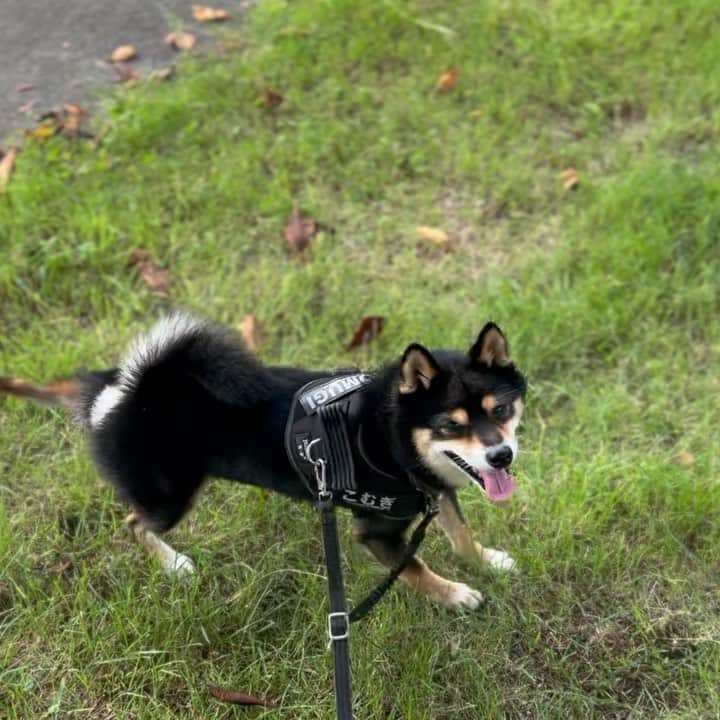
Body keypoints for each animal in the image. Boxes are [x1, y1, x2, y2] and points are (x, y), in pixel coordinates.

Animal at [1, 316, 528, 608]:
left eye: (501, 411)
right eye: (449, 426)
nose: (501, 455)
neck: (389, 432)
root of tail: (121, 389)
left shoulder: (437, 489)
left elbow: (460, 535)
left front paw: (488, 560)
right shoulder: (375, 532)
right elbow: (415, 568)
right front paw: (455, 595)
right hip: (169, 496)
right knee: (133, 522)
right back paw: (174, 565)